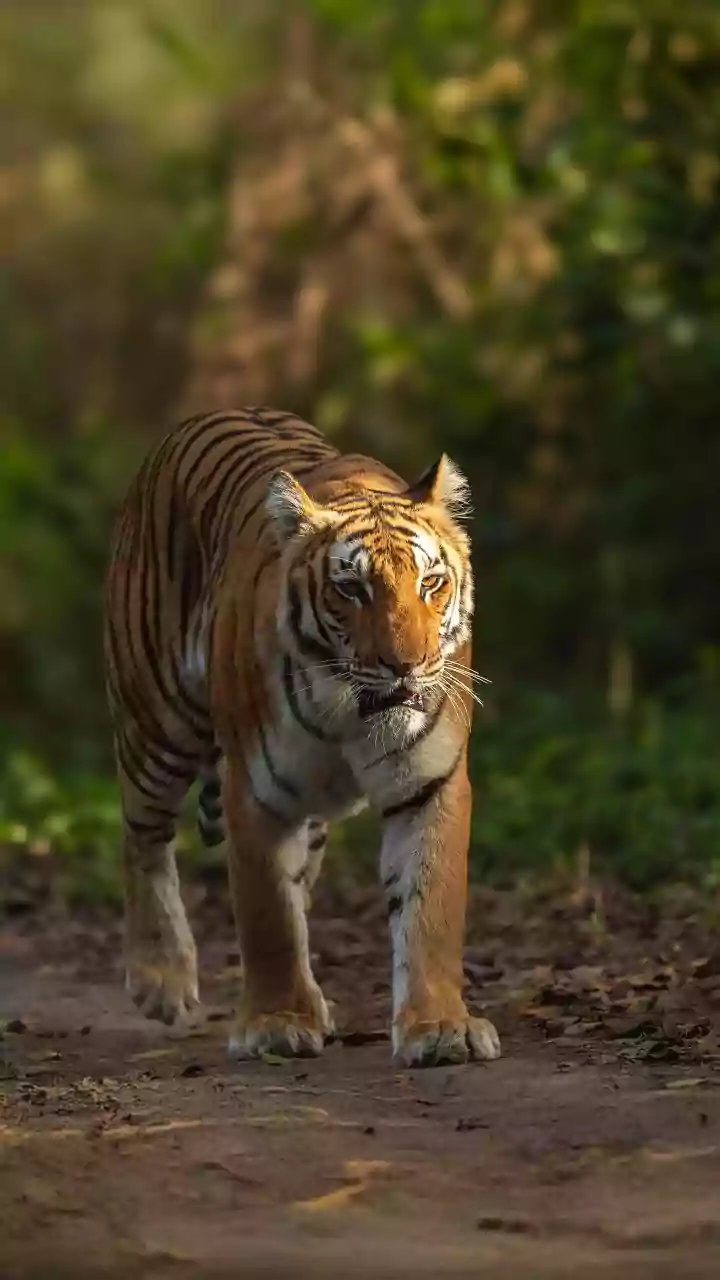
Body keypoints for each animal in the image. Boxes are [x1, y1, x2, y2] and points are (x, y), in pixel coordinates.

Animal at [104, 406, 500, 1068]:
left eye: (431, 583)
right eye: (351, 589)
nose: (406, 665)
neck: (352, 712)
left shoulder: (430, 784)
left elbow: (429, 909)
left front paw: (442, 1027)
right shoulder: (254, 791)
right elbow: (267, 915)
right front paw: (276, 1023)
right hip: (157, 718)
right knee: (143, 835)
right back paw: (161, 979)